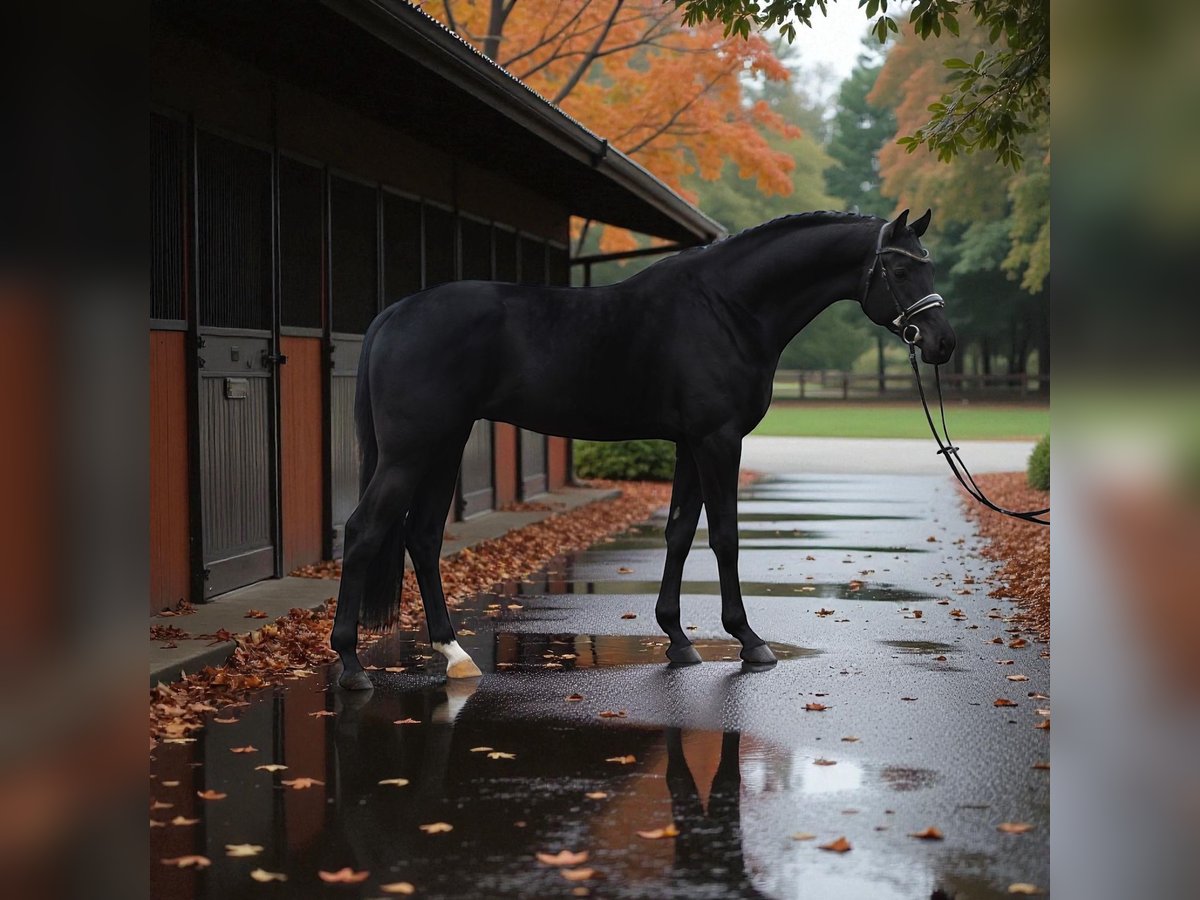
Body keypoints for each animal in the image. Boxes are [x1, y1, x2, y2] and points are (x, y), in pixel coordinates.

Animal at [331, 208, 956, 689]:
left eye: (929, 262)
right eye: (901, 266)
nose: (943, 343)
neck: (726, 307)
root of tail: (393, 315)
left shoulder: (689, 443)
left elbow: (678, 532)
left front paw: (677, 639)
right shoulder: (717, 440)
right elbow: (724, 536)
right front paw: (748, 640)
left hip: (445, 446)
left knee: (422, 536)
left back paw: (454, 655)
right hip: (412, 451)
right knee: (364, 531)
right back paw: (351, 665)